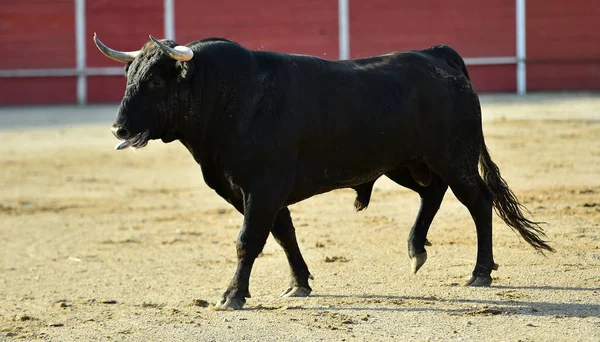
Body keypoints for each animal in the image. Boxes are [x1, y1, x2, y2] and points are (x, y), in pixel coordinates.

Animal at [94, 34, 552, 310]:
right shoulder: (253, 191)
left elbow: (248, 241)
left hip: (454, 157)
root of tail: (437, 54)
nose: (119, 129)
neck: (225, 96)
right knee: (432, 193)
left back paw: (480, 273)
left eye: (156, 81)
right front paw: (299, 283)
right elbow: (283, 234)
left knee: (478, 202)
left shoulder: (263, 187)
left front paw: (232, 296)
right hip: (406, 162)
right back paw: (416, 250)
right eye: (129, 77)